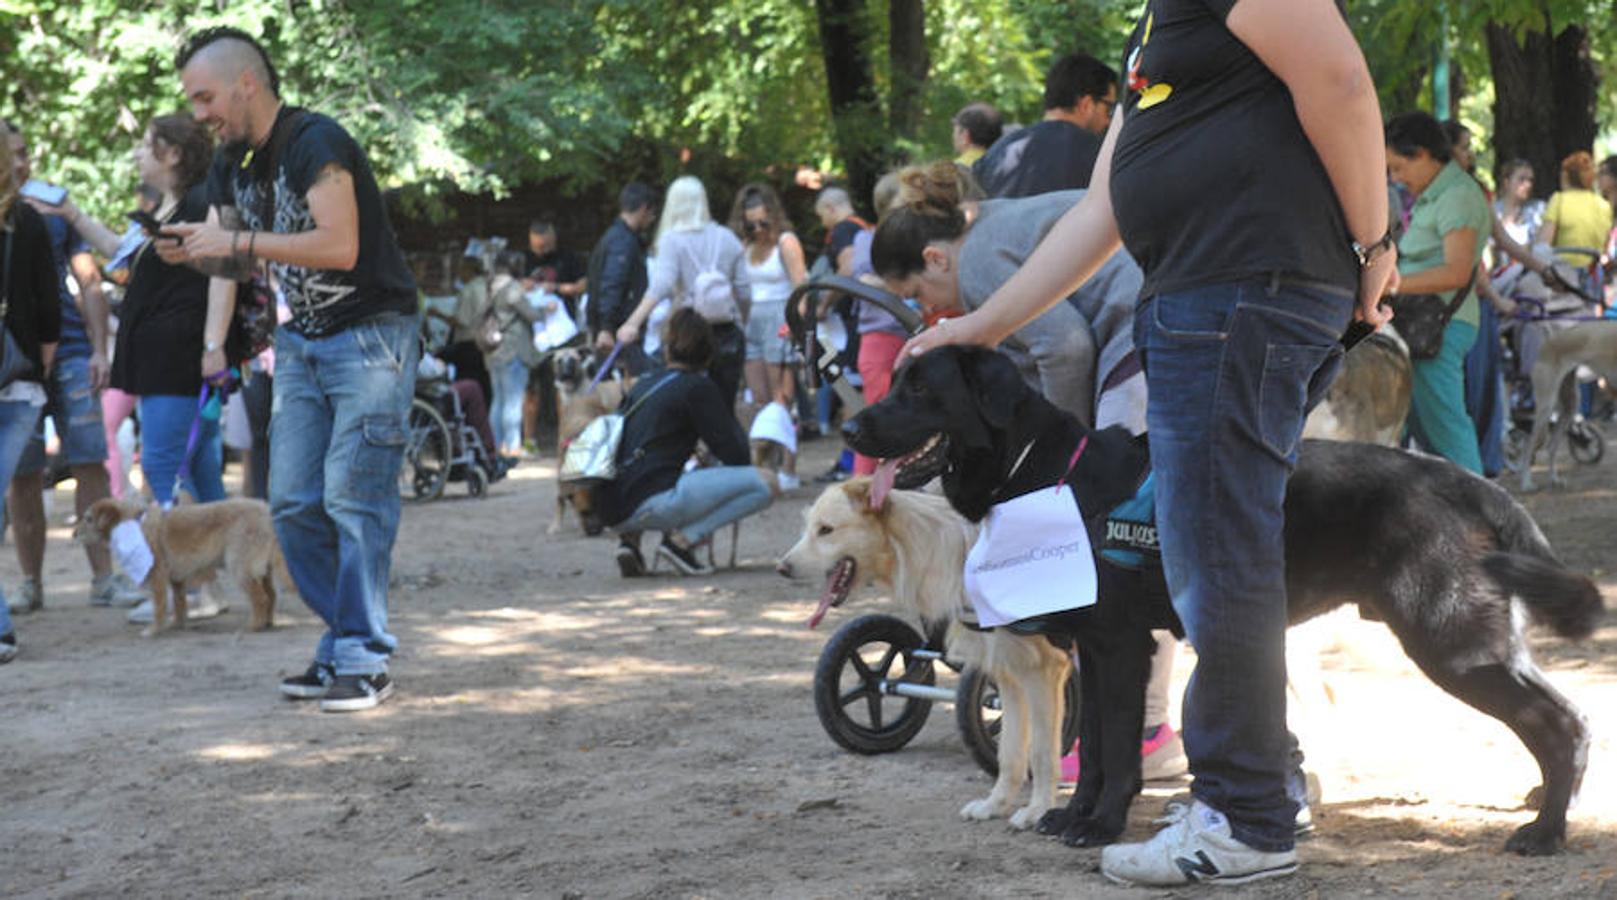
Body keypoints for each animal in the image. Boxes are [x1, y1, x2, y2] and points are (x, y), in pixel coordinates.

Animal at [75, 497, 294, 630]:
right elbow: (180, 603)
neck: (132, 523)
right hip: (261, 570)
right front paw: (176, 625)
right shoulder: (176, 580)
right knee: (271, 595)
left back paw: (253, 626)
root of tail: (266, 512)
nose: (74, 533)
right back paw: (267, 622)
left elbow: (160, 606)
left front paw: (154, 630)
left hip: (240, 567)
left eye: (88, 519)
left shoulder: (157, 576)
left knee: (261, 598)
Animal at [847, 344, 1604, 853]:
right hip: (1475, 640)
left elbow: (1116, 751)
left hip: (1451, 642)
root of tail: (1463, 480)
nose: (853, 429)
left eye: (921, 388)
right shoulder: (1093, 651)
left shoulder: (1119, 647)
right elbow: (1093, 751)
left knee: (1558, 723)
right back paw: (1550, 807)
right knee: (1566, 716)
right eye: (897, 381)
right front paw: (1071, 815)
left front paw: (1100, 825)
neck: (1048, 474)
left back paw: (1545, 831)